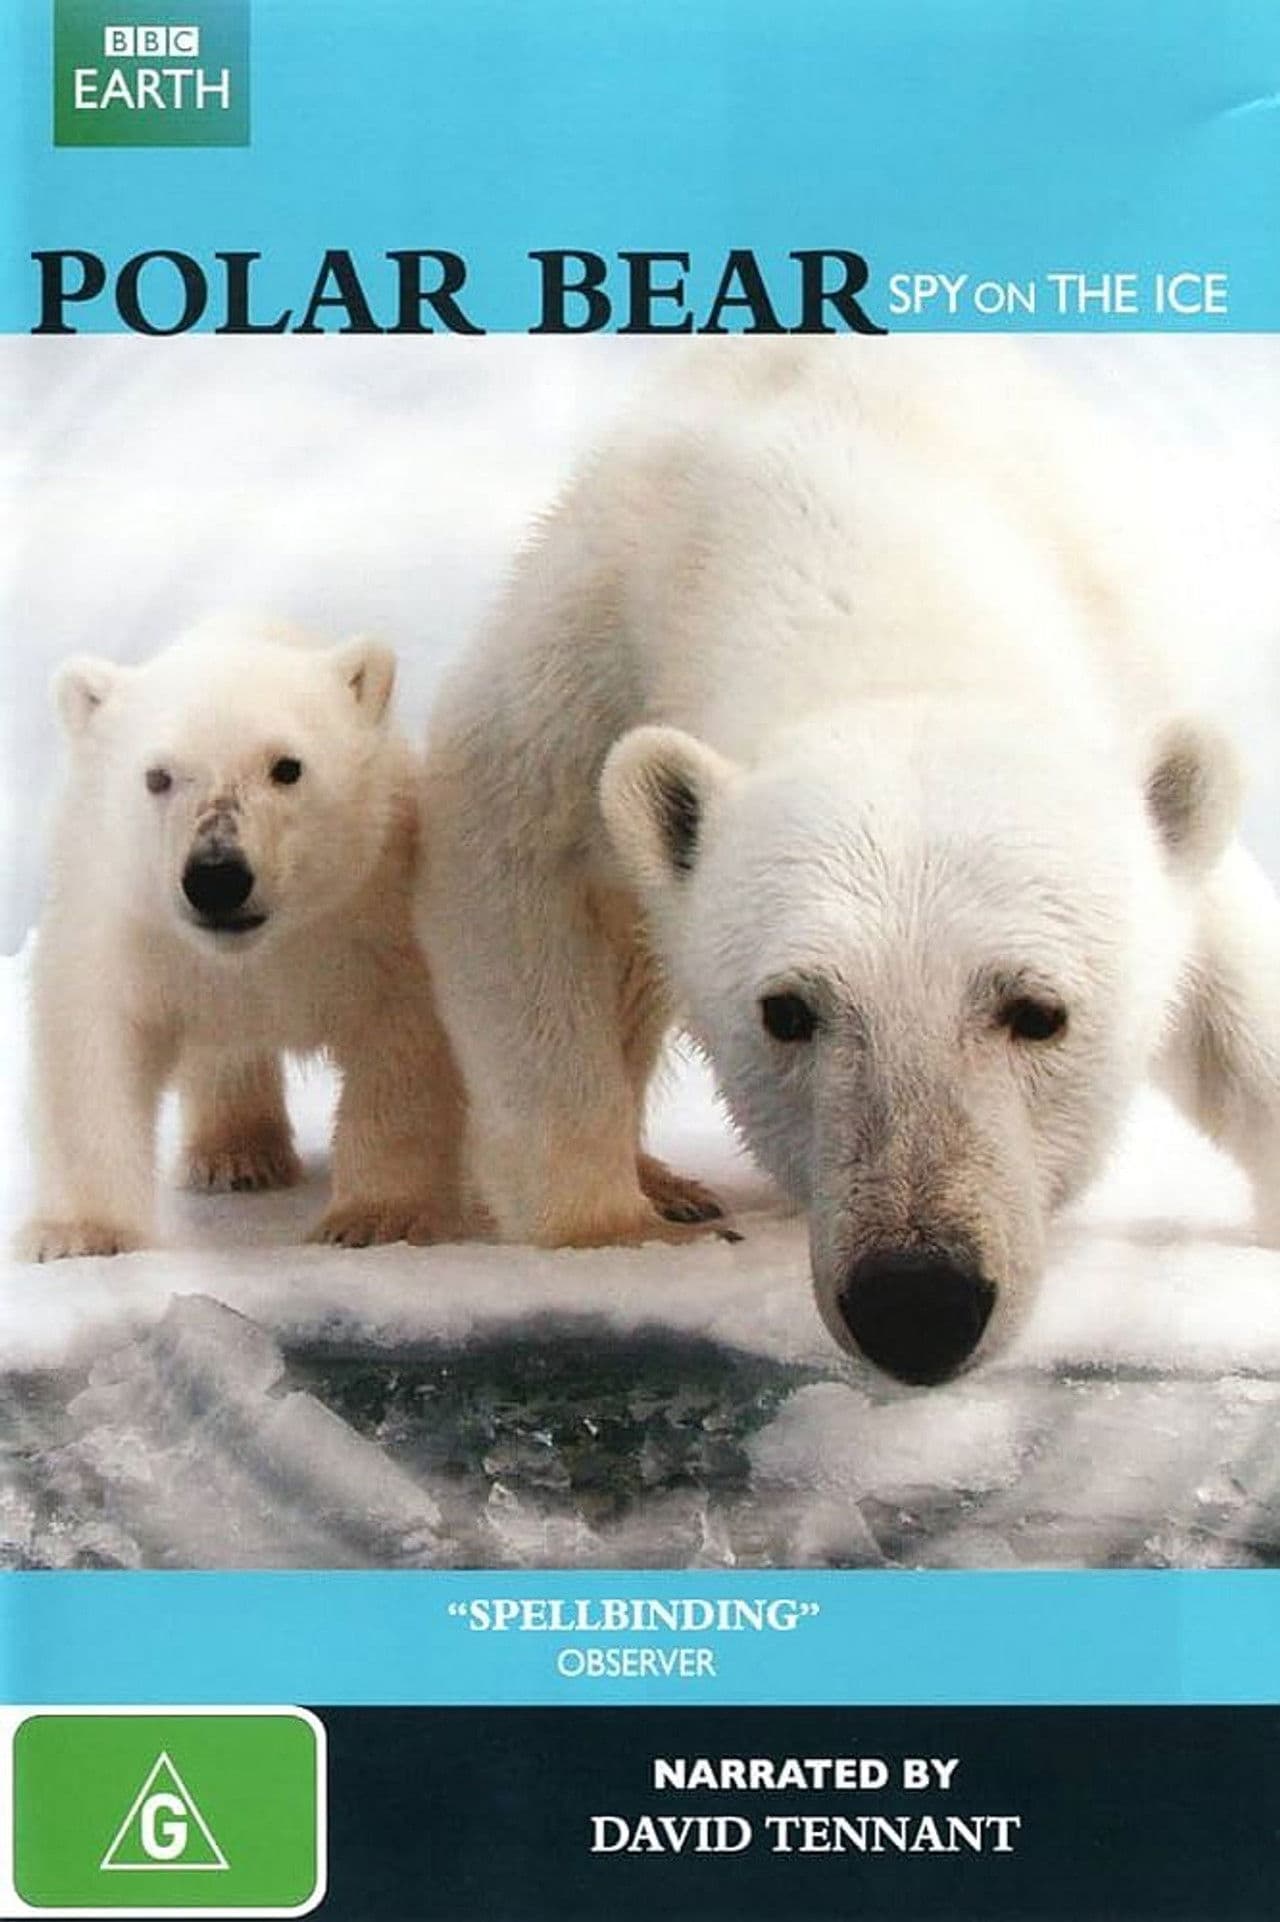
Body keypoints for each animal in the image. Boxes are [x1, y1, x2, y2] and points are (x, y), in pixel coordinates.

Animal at [19, 617, 469, 1261]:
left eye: (287, 766)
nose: (217, 876)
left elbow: (401, 1040)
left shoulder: (374, 912)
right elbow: (92, 1043)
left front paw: (379, 1218)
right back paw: (236, 1157)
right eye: (158, 776)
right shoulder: (128, 924)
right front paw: (77, 1233)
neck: (254, 953)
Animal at [417, 338, 1280, 1385]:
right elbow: (512, 859)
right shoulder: (593, 644)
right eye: (787, 1011)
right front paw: (616, 1230)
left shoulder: (1125, 676)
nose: (917, 1303)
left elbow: (1232, 982)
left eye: (1040, 1011)